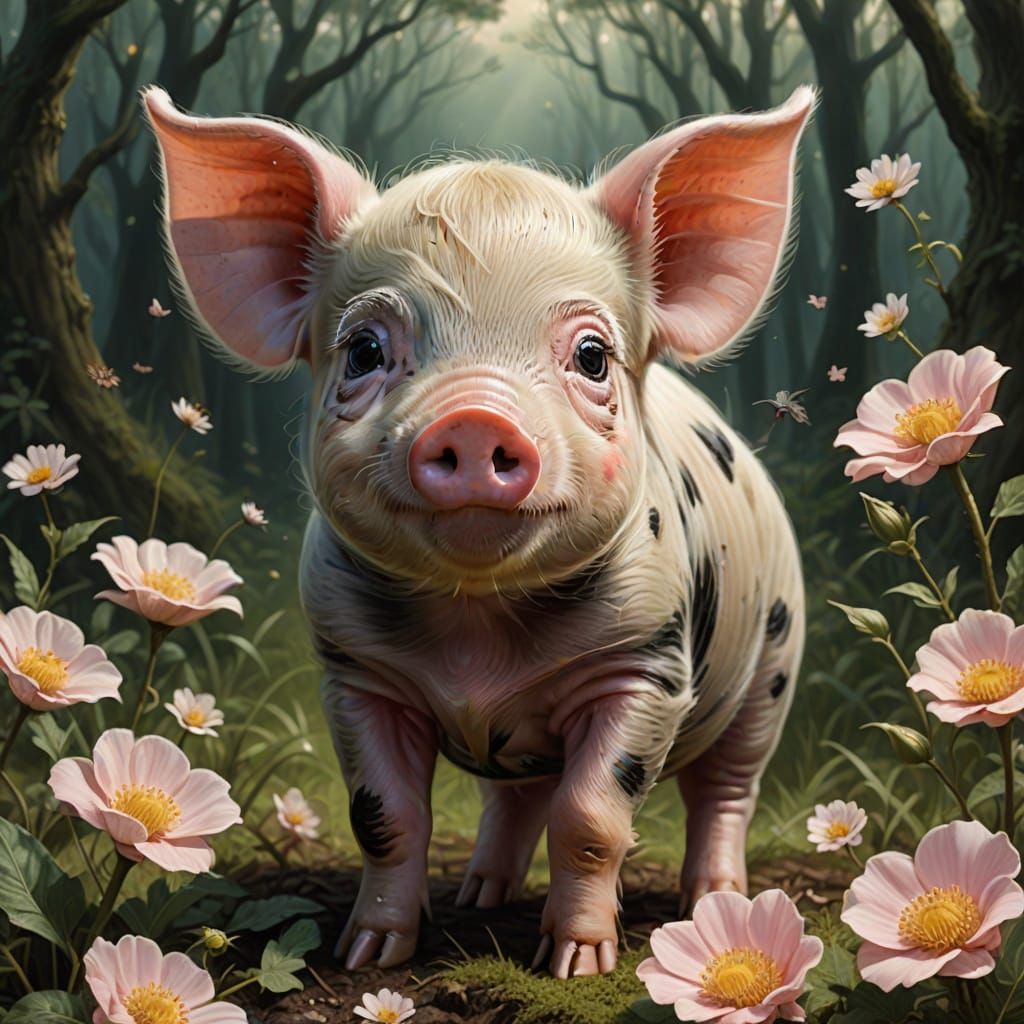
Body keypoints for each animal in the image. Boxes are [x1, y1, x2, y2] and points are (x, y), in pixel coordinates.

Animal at [144, 85, 812, 978]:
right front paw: (369, 955)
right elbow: (384, 816)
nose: (473, 417)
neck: (478, 632)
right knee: (516, 795)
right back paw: (480, 897)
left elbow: (592, 818)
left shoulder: (646, 667)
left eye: (593, 357)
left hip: (773, 665)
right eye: (363, 349)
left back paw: (714, 900)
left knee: (727, 790)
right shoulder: (356, 674)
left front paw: (577, 964)